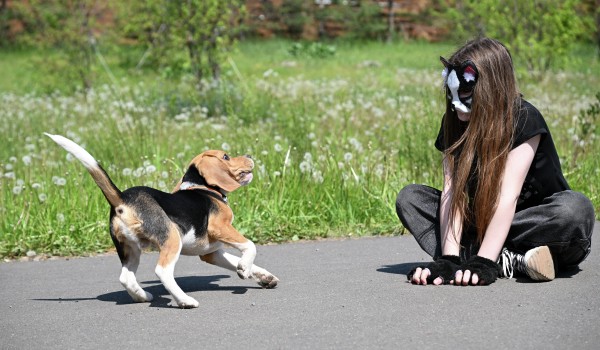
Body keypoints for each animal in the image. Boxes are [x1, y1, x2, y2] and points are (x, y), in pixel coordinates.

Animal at [45, 134, 280, 308]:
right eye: (226, 157)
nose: (249, 155)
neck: (202, 187)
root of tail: (122, 199)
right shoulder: (220, 227)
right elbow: (250, 246)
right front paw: (245, 269)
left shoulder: (211, 252)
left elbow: (237, 260)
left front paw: (261, 276)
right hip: (172, 238)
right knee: (162, 271)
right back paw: (184, 300)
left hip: (130, 249)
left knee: (125, 277)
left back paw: (142, 296)